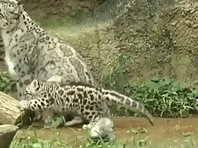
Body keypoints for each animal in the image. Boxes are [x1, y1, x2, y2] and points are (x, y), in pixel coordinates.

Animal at [18, 79, 154, 129]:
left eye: (27, 92)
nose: (22, 95)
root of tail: (100, 90)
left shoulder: (46, 100)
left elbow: (35, 102)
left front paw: (23, 103)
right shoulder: (50, 108)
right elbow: (49, 116)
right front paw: (48, 123)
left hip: (88, 109)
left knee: (97, 117)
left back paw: (88, 126)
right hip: (78, 109)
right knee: (84, 117)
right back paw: (69, 123)